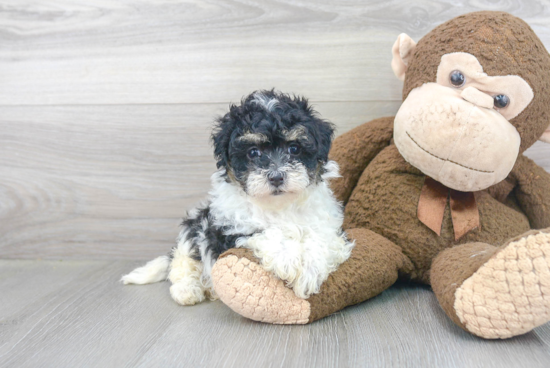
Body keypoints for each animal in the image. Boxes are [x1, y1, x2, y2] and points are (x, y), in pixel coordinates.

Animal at [122, 90, 354, 306]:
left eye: (294, 148)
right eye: (253, 152)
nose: (276, 177)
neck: (279, 206)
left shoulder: (326, 224)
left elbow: (320, 239)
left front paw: (308, 272)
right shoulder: (230, 229)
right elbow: (266, 233)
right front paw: (288, 259)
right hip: (194, 229)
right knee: (183, 264)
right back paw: (188, 290)